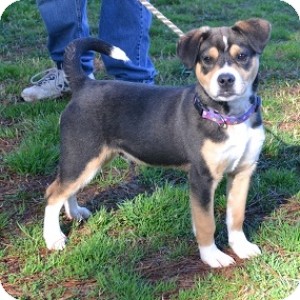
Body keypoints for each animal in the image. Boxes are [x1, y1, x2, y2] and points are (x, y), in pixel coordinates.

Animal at [44, 18, 272, 268]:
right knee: (53, 193)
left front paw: (241, 246)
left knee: (67, 188)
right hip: (82, 155)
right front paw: (212, 256)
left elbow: (236, 216)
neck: (229, 117)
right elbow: (206, 223)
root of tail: (84, 85)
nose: (225, 79)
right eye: (207, 59)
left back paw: (74, 213)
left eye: (241, 56)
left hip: (88, 160)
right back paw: (53, 238)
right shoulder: (202, 177)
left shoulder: (242, 171)